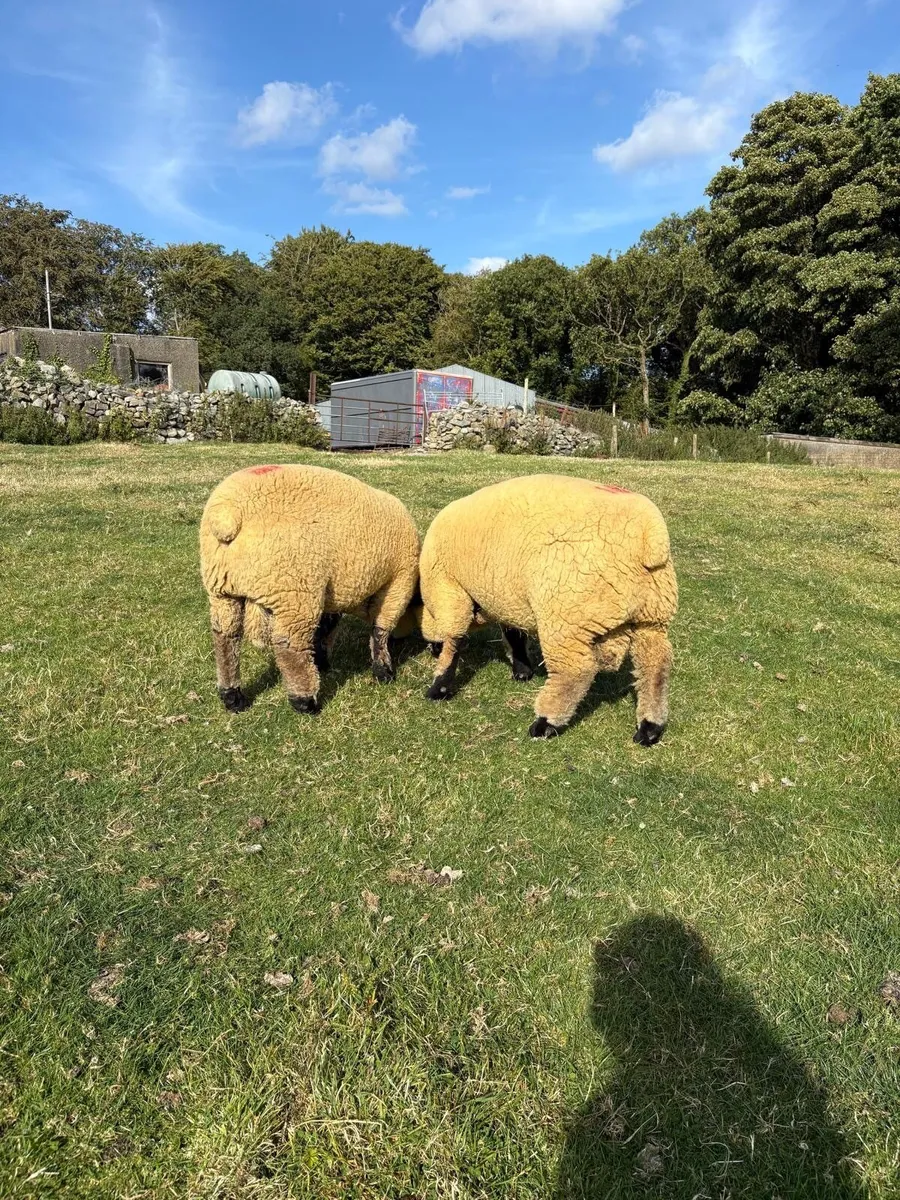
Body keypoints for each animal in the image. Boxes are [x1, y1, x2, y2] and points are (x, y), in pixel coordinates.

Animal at [199, 463, 420, 714]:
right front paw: (384, 670)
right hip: (296, 589)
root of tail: (227, 512)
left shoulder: (330, 591)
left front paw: (322, 660)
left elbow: (327, 626)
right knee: (289, 645)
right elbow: (380, 630)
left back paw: (233, 697)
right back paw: (305, 701)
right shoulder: (398, 582)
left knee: (226, 636)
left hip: (222, 589)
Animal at [417, 474, 678, 744]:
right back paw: (650, 728)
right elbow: (513, 634)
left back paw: (545, 723)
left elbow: (453, 640)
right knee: (655, 665)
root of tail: (649, 534)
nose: (431, 650)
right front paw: (522, 670)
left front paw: (439, 687)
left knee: (576, 671)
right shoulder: (510, 599)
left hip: (564, 616)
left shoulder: (449, 588)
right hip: (652, 616)